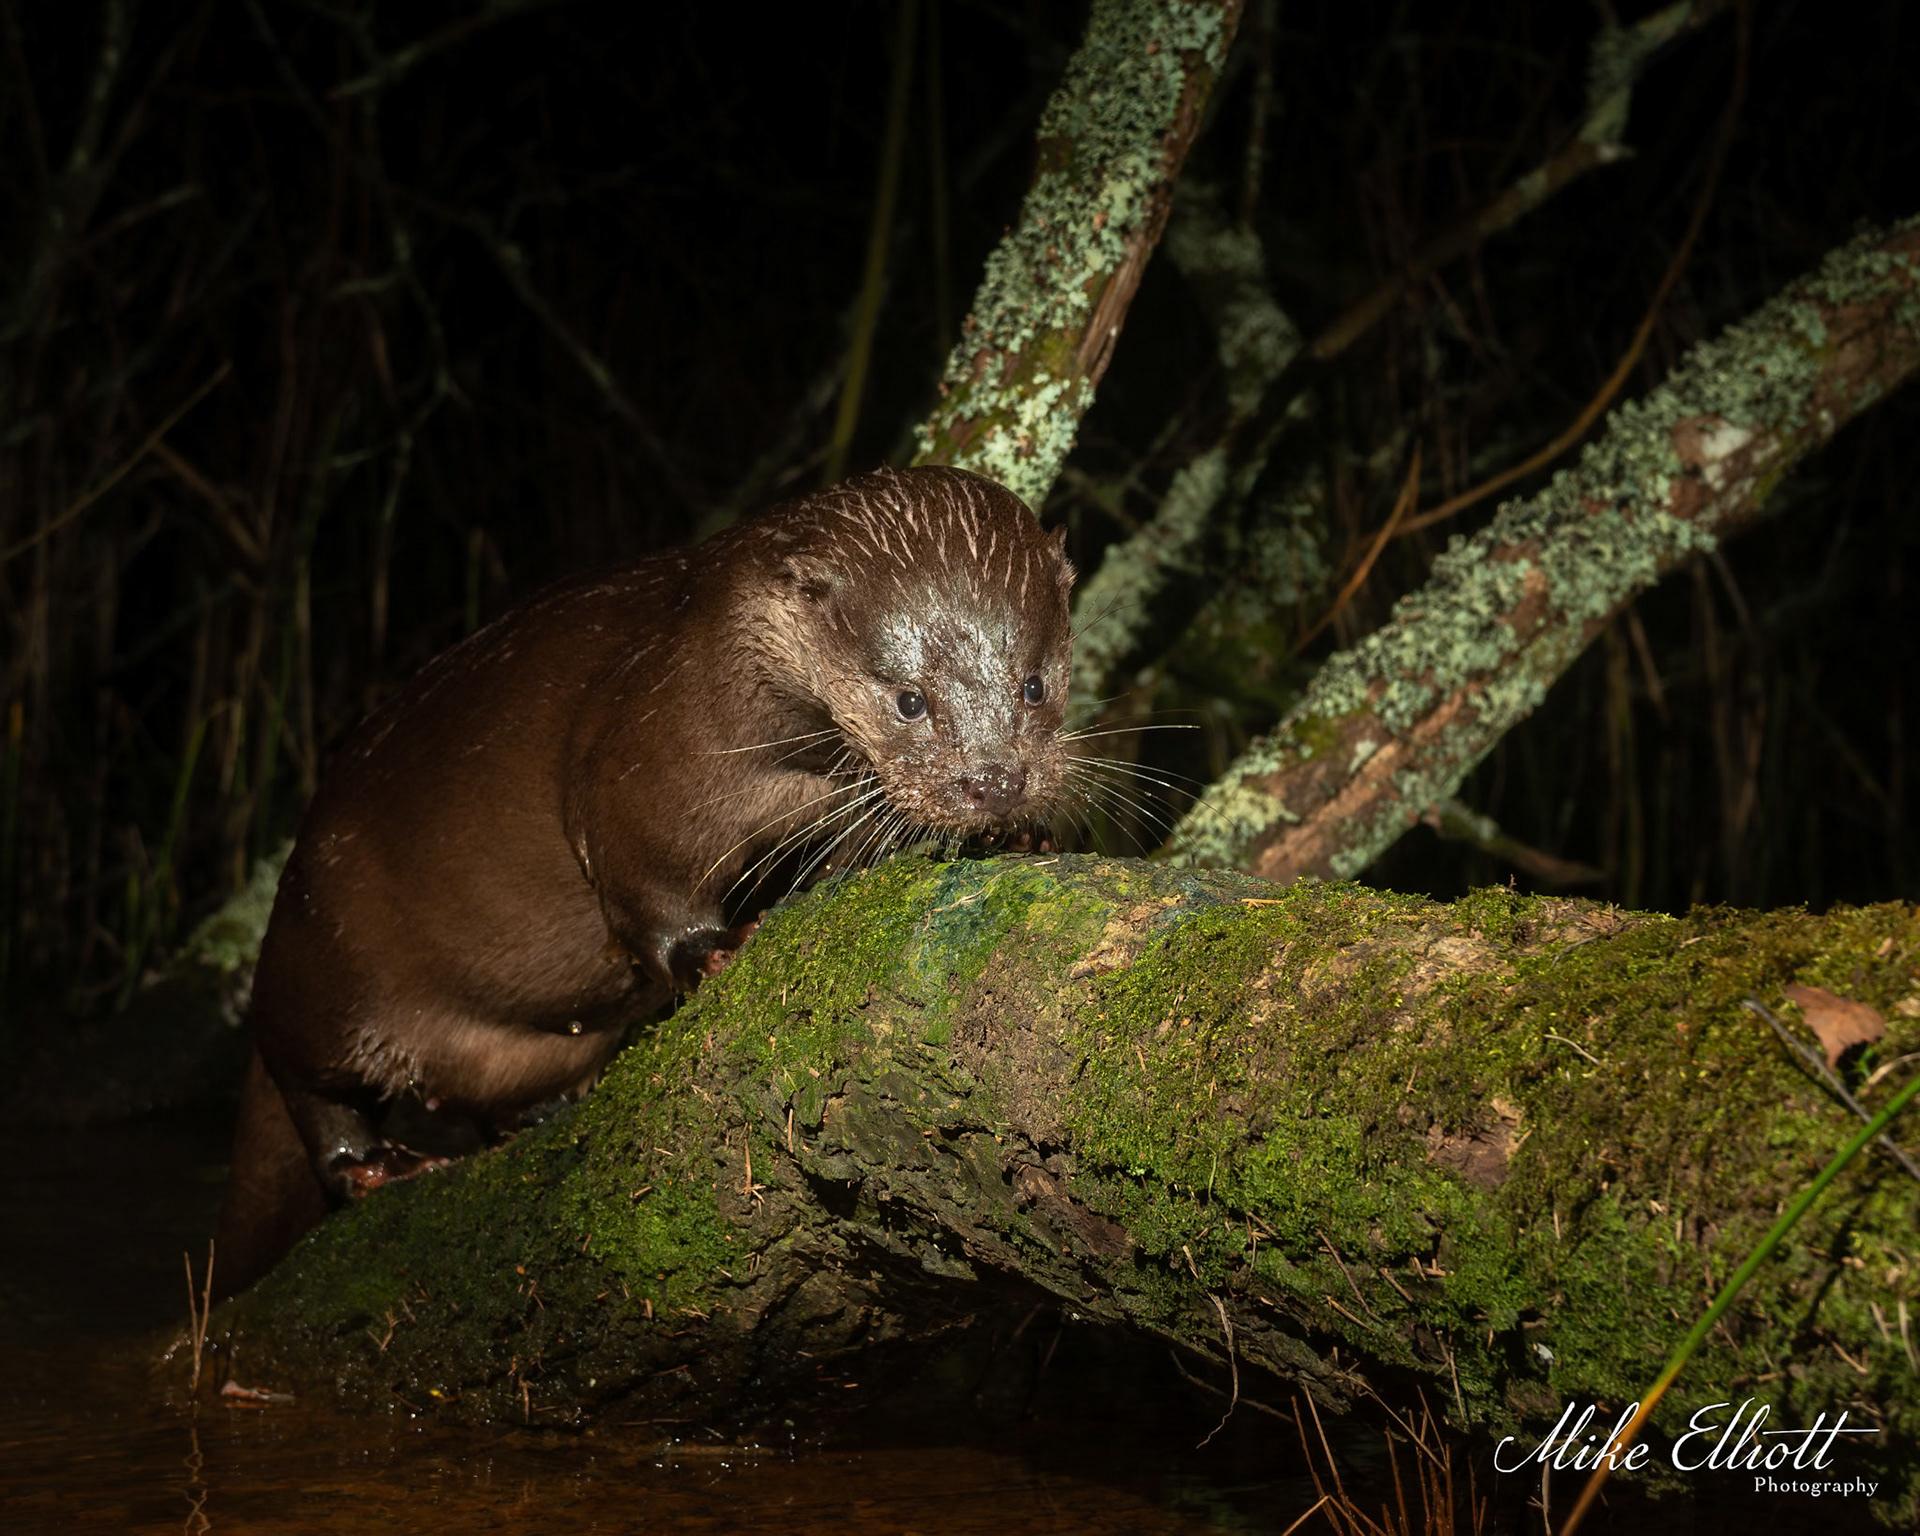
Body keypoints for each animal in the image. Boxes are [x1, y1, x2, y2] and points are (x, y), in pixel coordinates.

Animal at [213, 465, 1075, 1294]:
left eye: (1035, 685)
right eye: (908, 699)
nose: (995, 781)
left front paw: (1016, 832)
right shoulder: (639, 766)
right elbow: (645, 885)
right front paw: (715, 949)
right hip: (324, 961)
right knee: (312, 1090)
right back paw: (379, 1164)